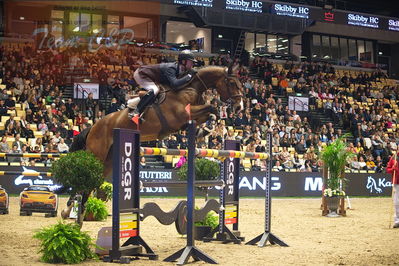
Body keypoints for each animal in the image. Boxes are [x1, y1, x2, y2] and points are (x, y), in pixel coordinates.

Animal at [73, 66, 245, 179]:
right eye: (232, 83)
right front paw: (211, 124)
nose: (239, 107)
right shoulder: (181, 116)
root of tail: (93, 127)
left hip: (109, 159)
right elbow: (211, 108)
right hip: (98, 154)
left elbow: (207, 114)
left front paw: (204, 130)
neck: (191, 88)